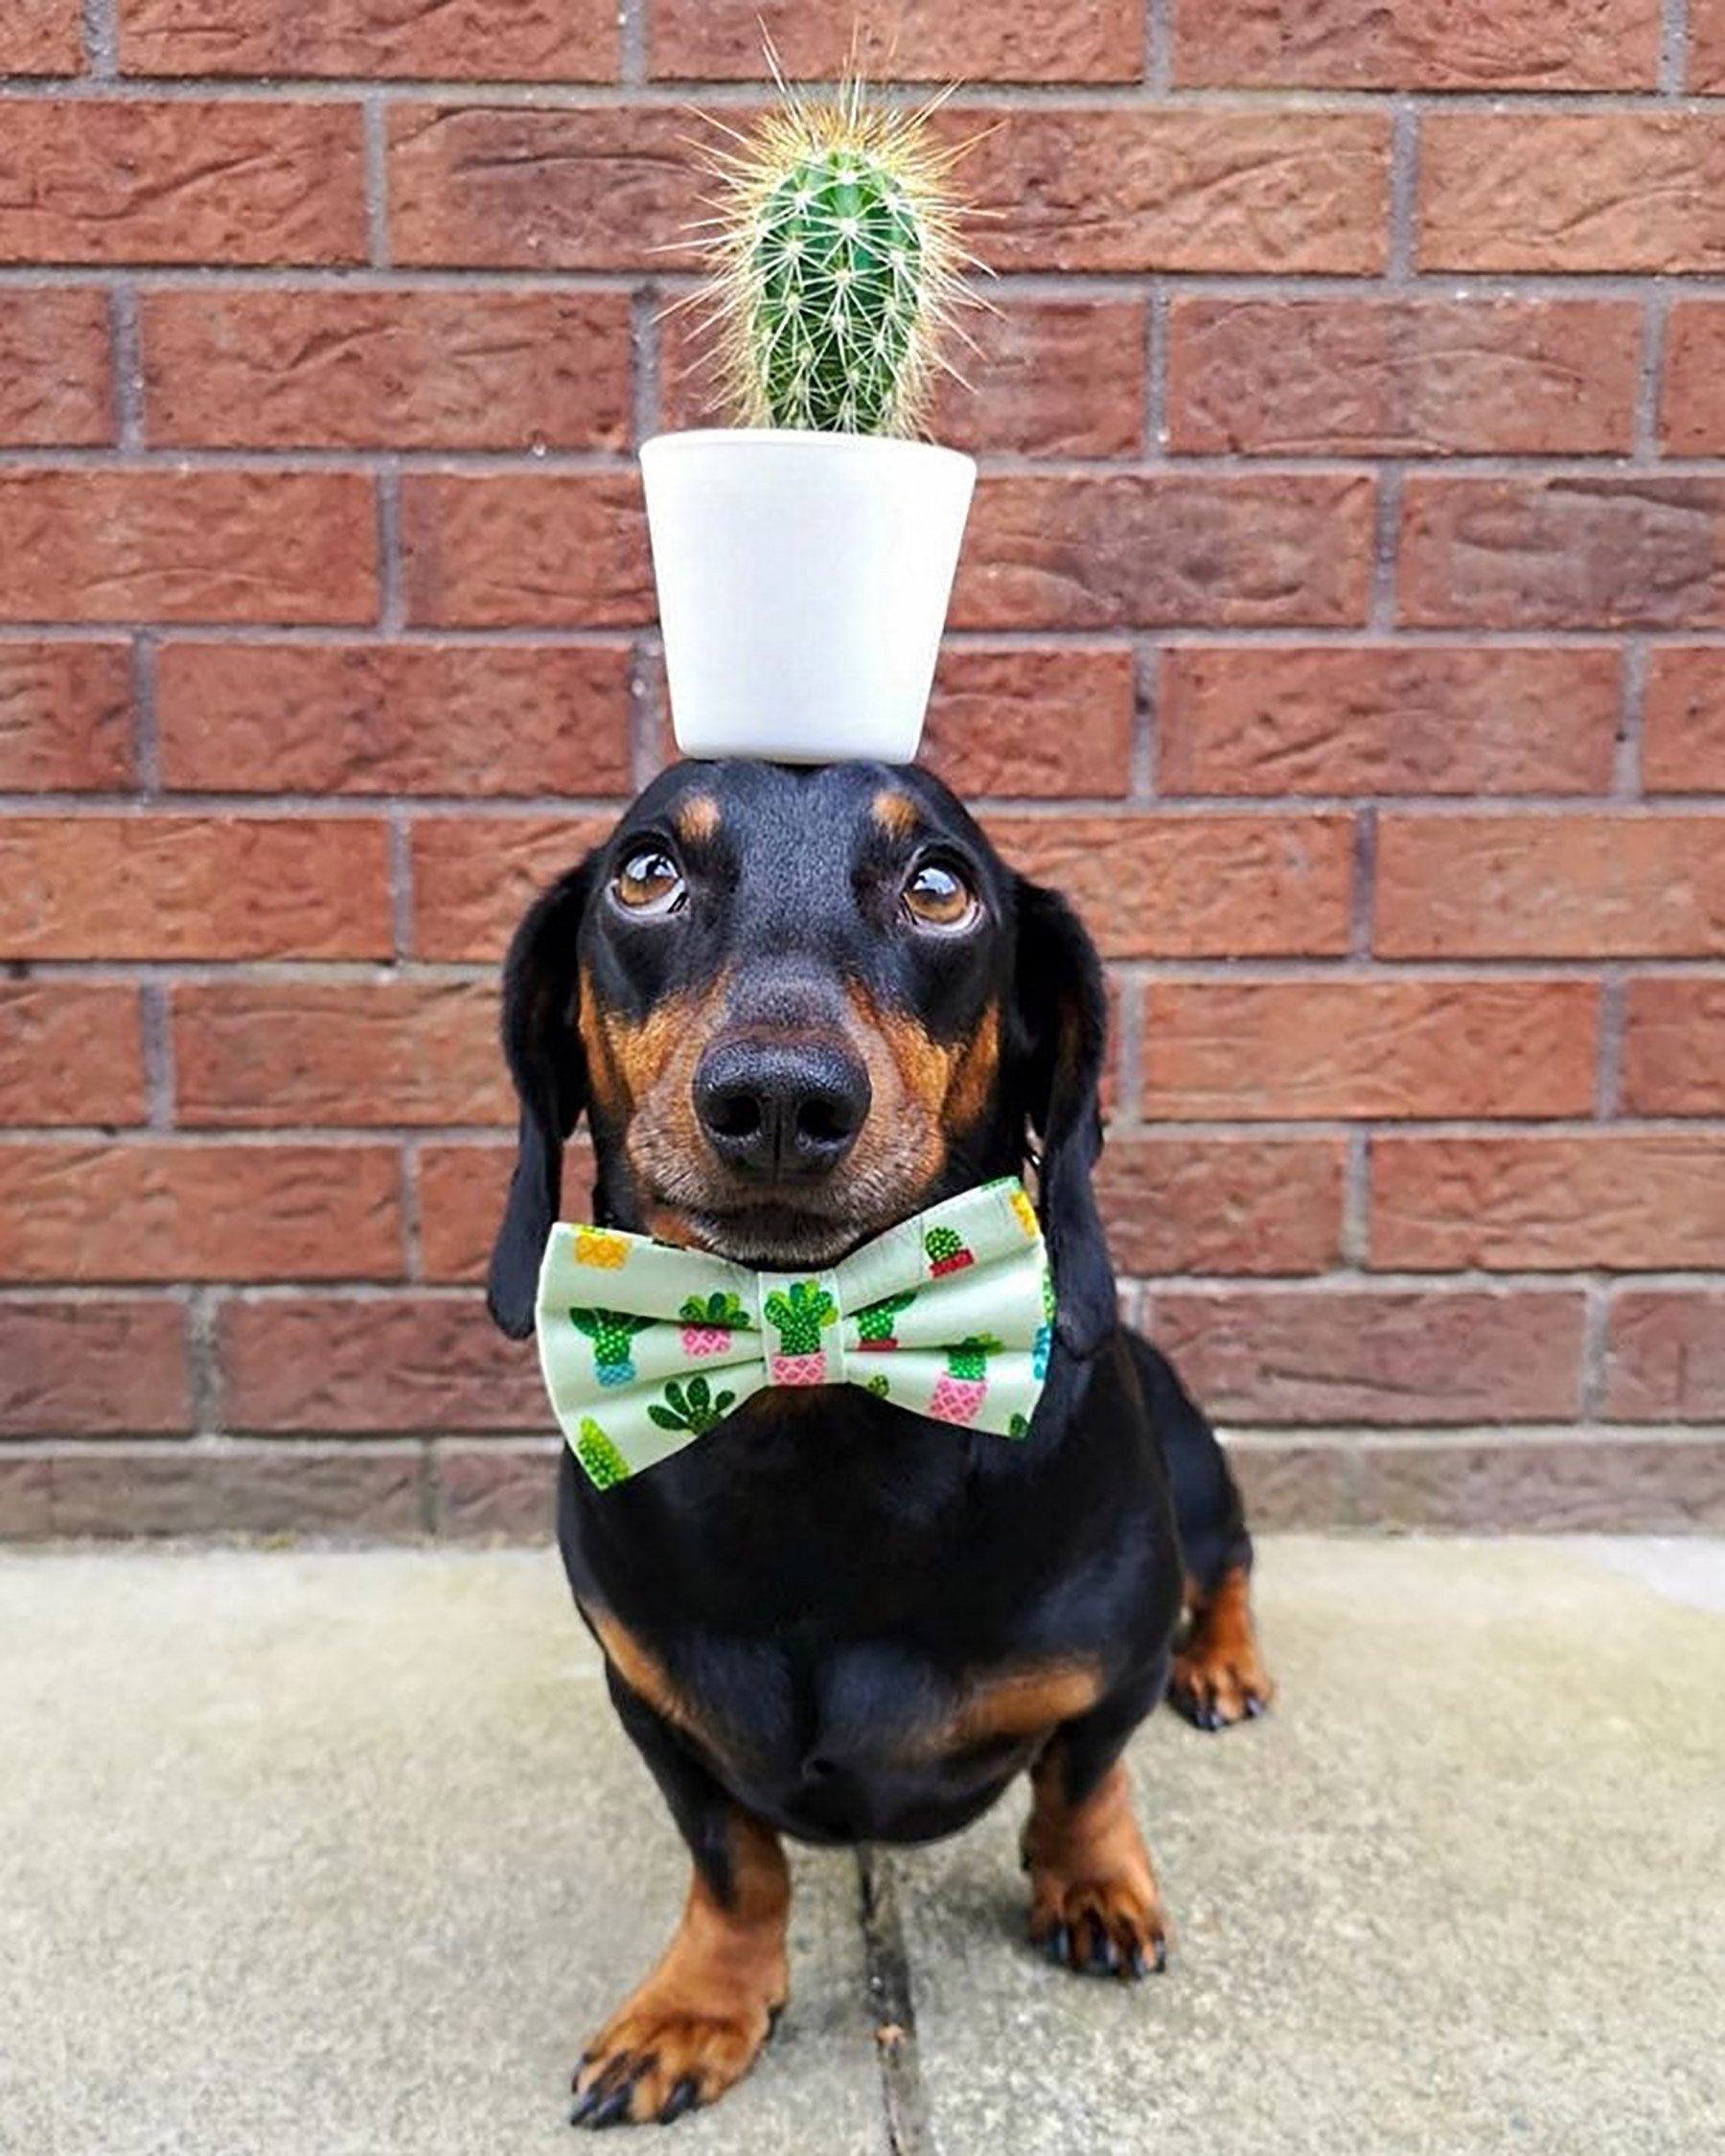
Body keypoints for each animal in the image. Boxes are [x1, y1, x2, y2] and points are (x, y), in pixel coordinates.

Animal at [485, 754, 1268, 2122]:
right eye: (647, 871)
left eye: (940, 886)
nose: (778, 1099)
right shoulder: (649, 1705)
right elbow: (734, 1862)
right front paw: (698, 2007)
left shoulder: (1112, 1671)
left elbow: (1082, 1778)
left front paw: (1095, 1883)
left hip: (1201, 1478)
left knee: (1230, 1573)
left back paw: (1222, 1666)